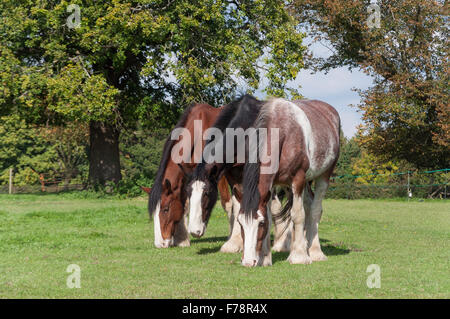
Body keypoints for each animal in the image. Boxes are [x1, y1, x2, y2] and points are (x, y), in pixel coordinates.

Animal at [147, 104, 234, 249]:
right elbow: (186, 204)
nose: (159, 243)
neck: (198, 133)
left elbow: (227, 204)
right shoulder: (188, 174)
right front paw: (182, 239)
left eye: (165, 209)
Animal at [185, 94, 294, 254]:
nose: (194, 231)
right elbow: (237, 202)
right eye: (188, 193)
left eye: (207, 193)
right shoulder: (232, 176)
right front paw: (235, 243)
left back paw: (284, 243)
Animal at [237, 98, 340, 268]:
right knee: (309, 205)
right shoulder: (271, 186)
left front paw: (299, 256)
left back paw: (315, 252)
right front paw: (265, 257)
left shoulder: (298, 178)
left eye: (260, 223)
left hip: (323, 176)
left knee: (315, 210)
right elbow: (272, 215)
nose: (248, 262)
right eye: (240, 223)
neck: (284, 132)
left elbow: (297, 215)